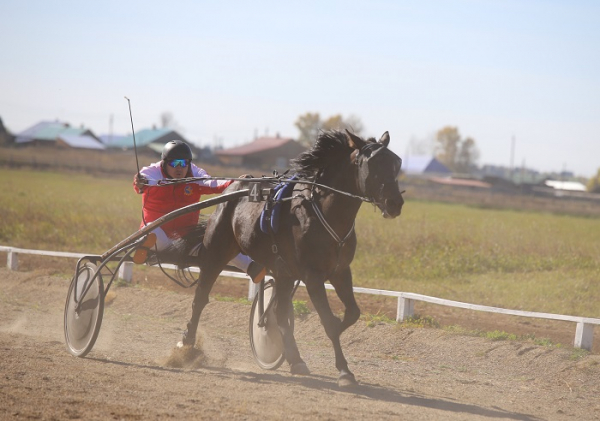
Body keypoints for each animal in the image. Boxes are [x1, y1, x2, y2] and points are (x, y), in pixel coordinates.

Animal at [180, 129, 400, 388]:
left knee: (279, 314)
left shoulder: (340, 271)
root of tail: (235, 186)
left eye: (396, 162)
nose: (395, 203)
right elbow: (327, 321)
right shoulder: (313, 276)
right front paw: (344, 371)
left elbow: (352, 313)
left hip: (283, 272)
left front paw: (337, 336)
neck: (324, 211)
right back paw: (187, 344)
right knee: (200, 299)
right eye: (372, 164)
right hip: (216, 254)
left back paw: (295, 360)